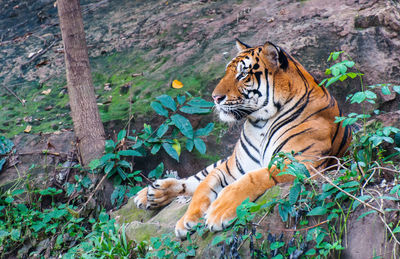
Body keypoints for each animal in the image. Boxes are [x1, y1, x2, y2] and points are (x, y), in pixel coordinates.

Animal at [134, 39, 350, 240]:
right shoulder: (232, 167)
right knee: (194, 179)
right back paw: (150, 194)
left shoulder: (301, 162)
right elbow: (203, 186)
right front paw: (187, 220)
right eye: (227, 73)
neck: (261, 123)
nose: (215, 97)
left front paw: (218, 212)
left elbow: (254, 178)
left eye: (242, 75)